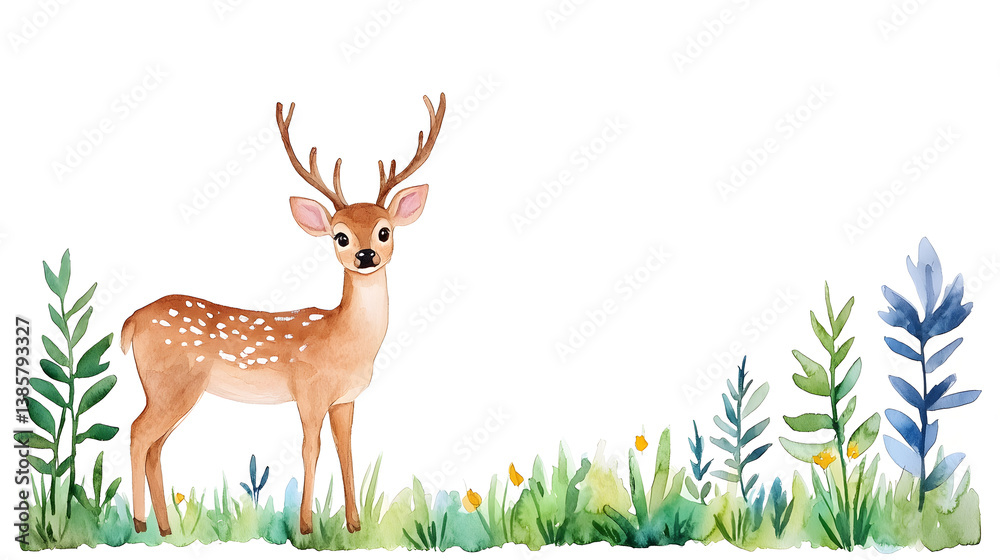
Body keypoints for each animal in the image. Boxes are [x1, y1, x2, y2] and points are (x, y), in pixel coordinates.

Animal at [120, 93, 445, 537]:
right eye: (340, 236)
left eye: (384, 231)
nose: (366, 256)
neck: (345, 341)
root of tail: (131, 320)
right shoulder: (308, 389)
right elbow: (311, 448)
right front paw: (306, 527)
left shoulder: (345, 400)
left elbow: (346, 450)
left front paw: (354, 526)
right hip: (170, 383)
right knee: (138, 433)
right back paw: (139, 525)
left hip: (175, 390)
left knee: (154, 446)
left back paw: (166, 530)